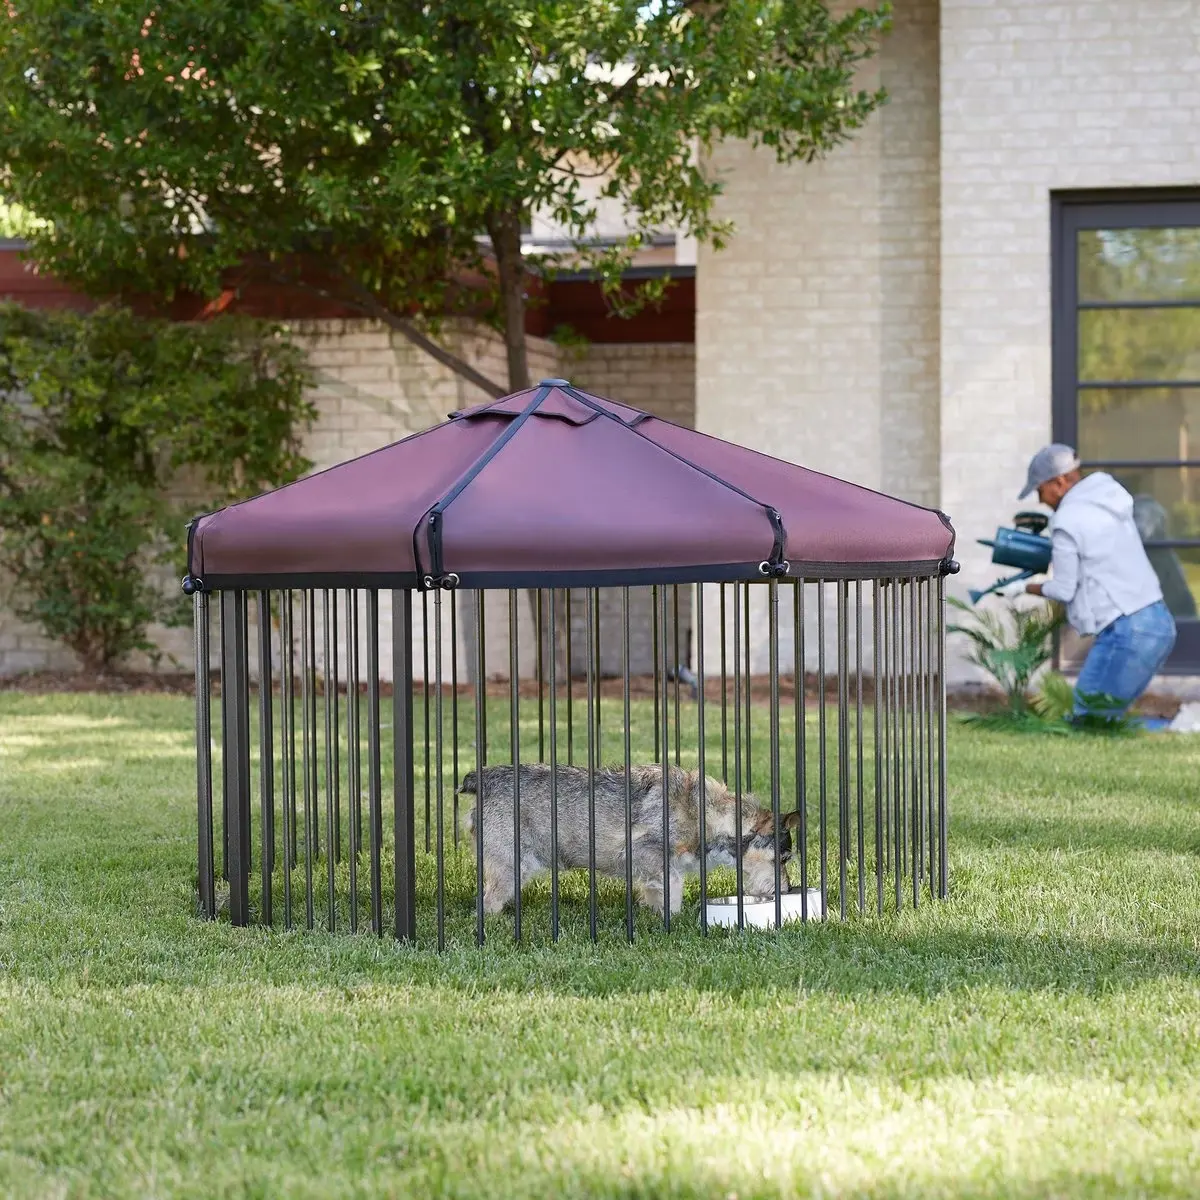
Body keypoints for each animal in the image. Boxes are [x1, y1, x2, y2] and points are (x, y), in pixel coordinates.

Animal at [456, 763, 796, 912]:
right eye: (783, 858)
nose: (788, 889)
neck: (709, 814)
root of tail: (482, 778)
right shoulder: (647, 852)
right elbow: (673, 887)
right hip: (510, 867)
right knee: (487, 902)